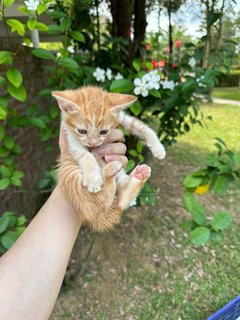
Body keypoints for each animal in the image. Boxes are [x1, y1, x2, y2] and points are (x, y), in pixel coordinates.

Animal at [52, 86, 165, 231]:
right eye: (82, 131)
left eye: (104, 132)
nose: (93, 144)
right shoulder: (70, 136)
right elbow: (84, 154)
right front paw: (93, 178)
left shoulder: (120, 116)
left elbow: (140, 126)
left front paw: (158, 147)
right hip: (73, 177)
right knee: (104, 201)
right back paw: (108, 172)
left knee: (121, 198)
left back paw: (138, 175)